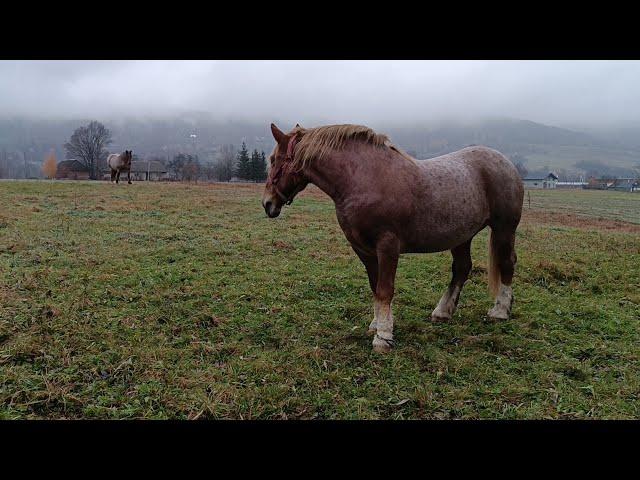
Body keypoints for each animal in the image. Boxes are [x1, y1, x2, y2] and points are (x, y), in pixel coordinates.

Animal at [262, 123, 524, 352]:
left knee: (506, 263)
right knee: (462, 268)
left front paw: (383, 337)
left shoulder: (387, 246)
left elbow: (385, 289)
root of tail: (507, 164)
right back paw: (442, 312)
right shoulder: (364, 250)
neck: (363, 178)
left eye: (274, 160)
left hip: (504, 229)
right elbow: (375, 287)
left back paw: (500, 311)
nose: (267, 204)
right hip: (462, 236)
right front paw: (377, 325)